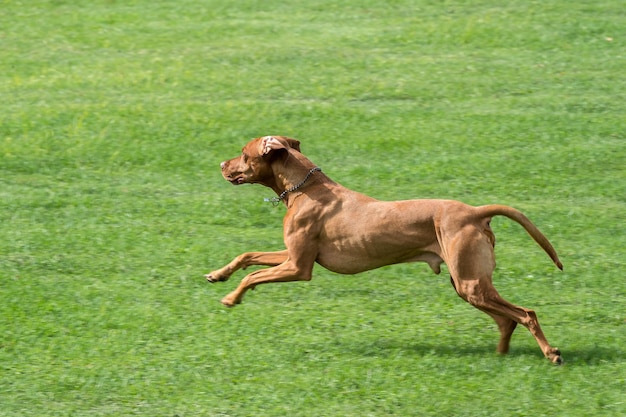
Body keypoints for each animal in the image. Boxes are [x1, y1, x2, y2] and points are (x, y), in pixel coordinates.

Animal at [207, 135, 564, 362]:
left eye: (244, 153)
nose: (221, 163)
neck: (303, 188)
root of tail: (475, 211)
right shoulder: (292, 256)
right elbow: (247, 256)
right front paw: (217, 274)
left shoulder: (299, 267)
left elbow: (252, 276)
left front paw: (231, 297)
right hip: (467, 284)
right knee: (507, 320)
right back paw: (501, 356)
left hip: (470, 283)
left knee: (526, 314)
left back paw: (551, 354)